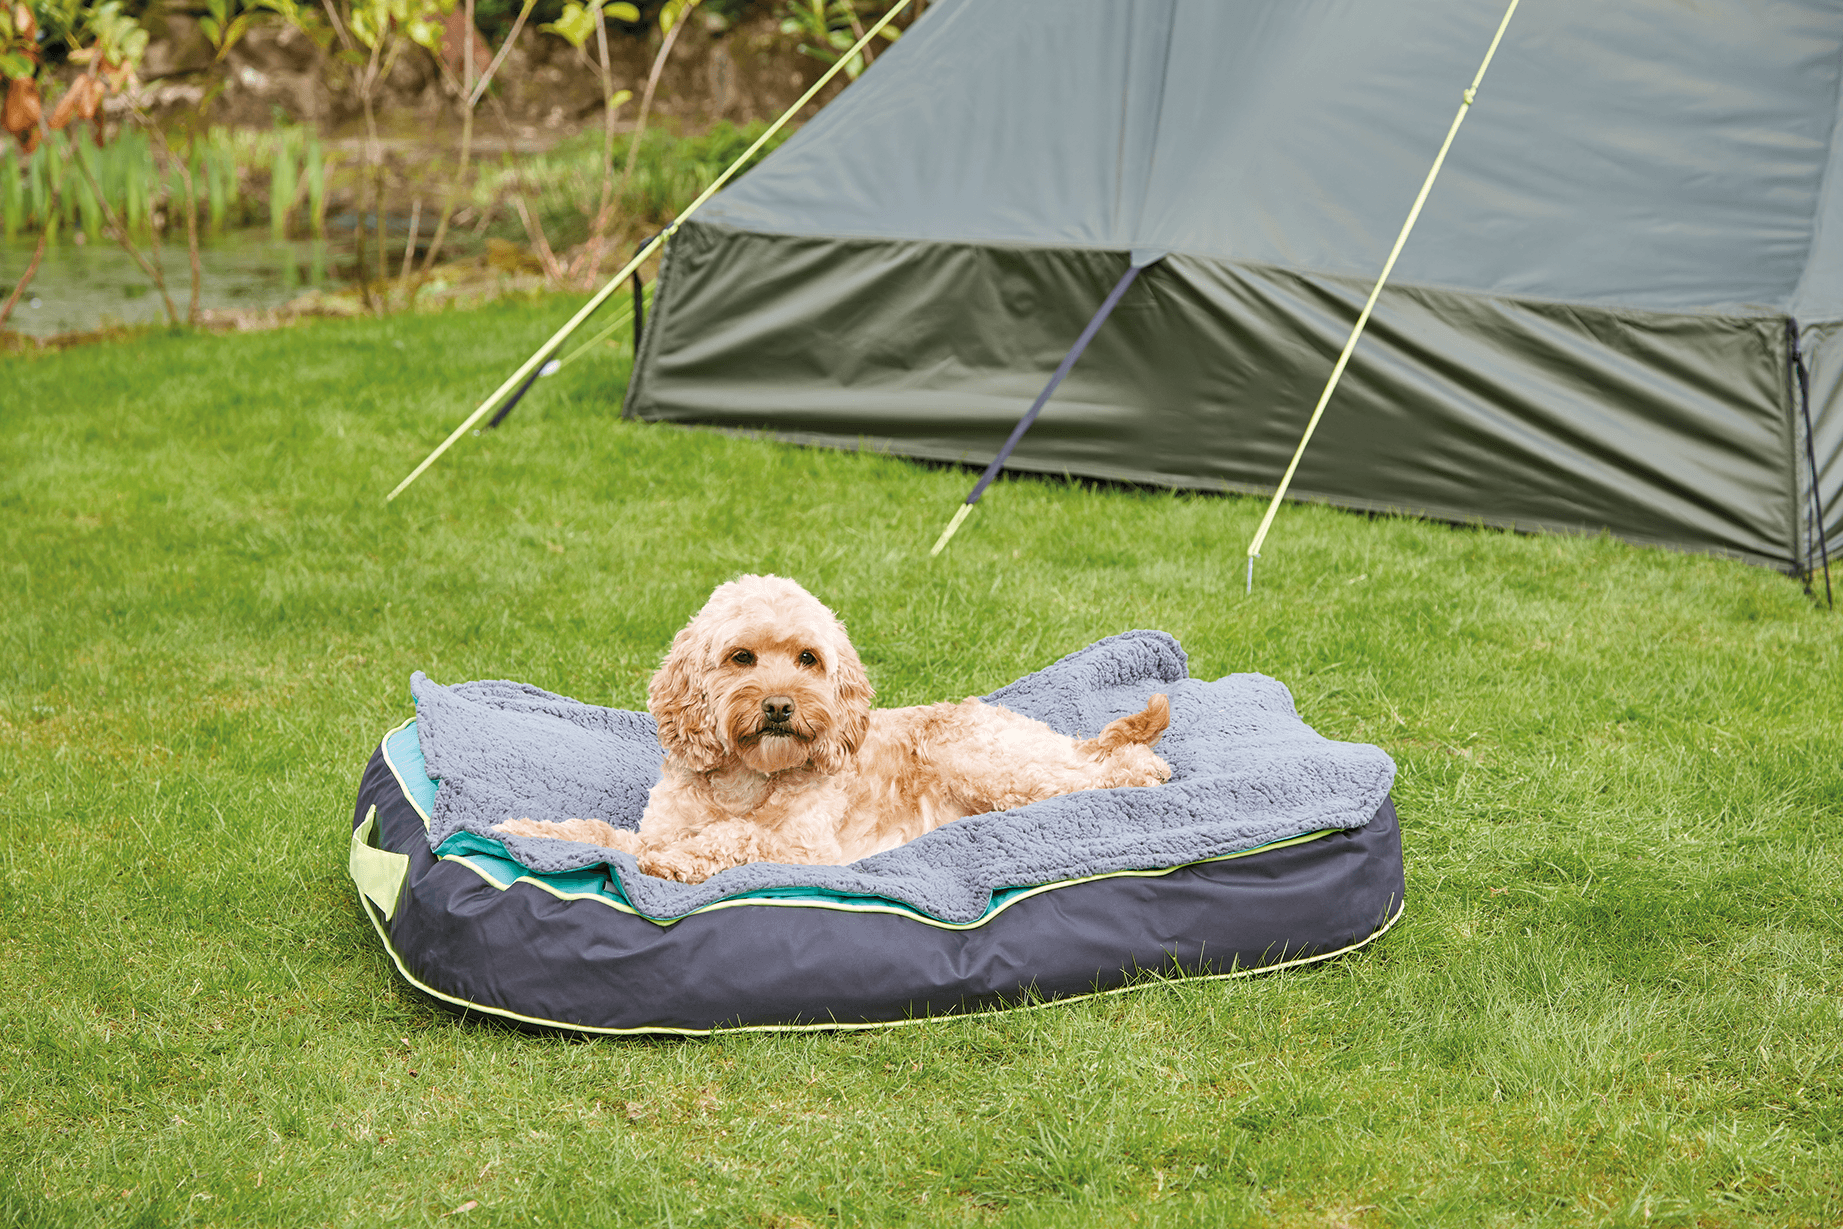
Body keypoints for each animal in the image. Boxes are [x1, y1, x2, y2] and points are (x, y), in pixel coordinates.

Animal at [495, 575, 1171, 883]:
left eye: (807, 659)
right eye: (741, 657)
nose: (778, 706)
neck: (746, 779)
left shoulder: (805, 850)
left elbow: (738, 838)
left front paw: (680, 861)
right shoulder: (654, 828)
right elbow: (599, 834)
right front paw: (531, 830)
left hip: (989, 762)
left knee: (1103, 771)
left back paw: (1145, 771)